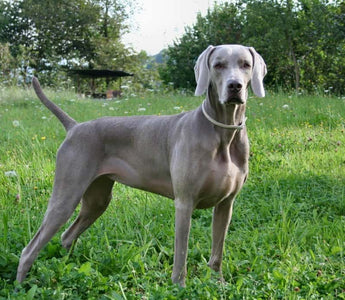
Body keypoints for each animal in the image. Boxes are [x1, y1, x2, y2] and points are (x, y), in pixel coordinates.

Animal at [16, 44, 266, 286]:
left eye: (245, 64)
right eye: (218, 65)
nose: (235, 86)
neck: (224, 132)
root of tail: (74, 127)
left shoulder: (226, 203)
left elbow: (218, 251)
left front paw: (219, 283)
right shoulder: (185, 202)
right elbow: (181, 253)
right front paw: (179, 287)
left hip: (97, 198)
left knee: (67, 235)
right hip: (67, 194)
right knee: (29, 249)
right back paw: (20, 285)